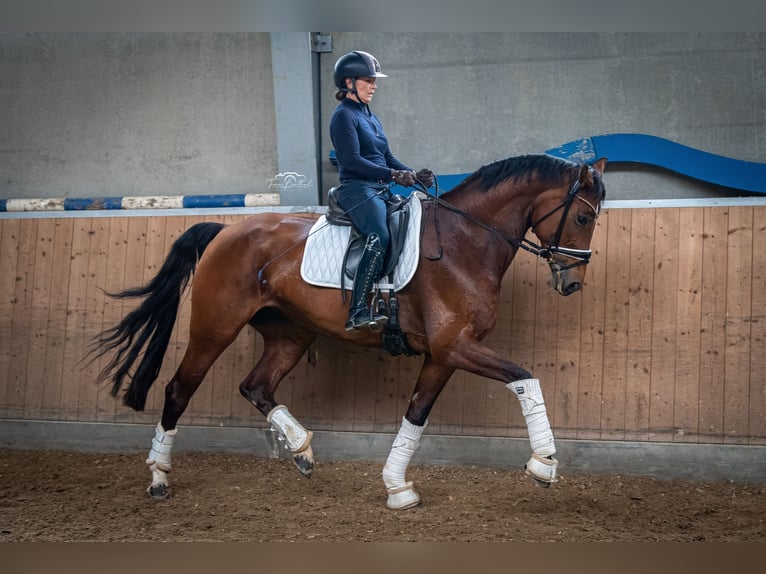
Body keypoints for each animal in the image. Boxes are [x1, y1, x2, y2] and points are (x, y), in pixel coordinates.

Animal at [90, 154, 608, 512]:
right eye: (584, 217)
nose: (572, 282)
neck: (464, 242)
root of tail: (225, 231)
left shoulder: (443, 355)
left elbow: (416, 416)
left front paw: (398, 488)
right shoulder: (456, 346)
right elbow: (526, 379)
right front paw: (544, 463)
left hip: (290, 335)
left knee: (256, 386)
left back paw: (301, 449)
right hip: (214, 329)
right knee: (179, 389)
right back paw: (159, 477)